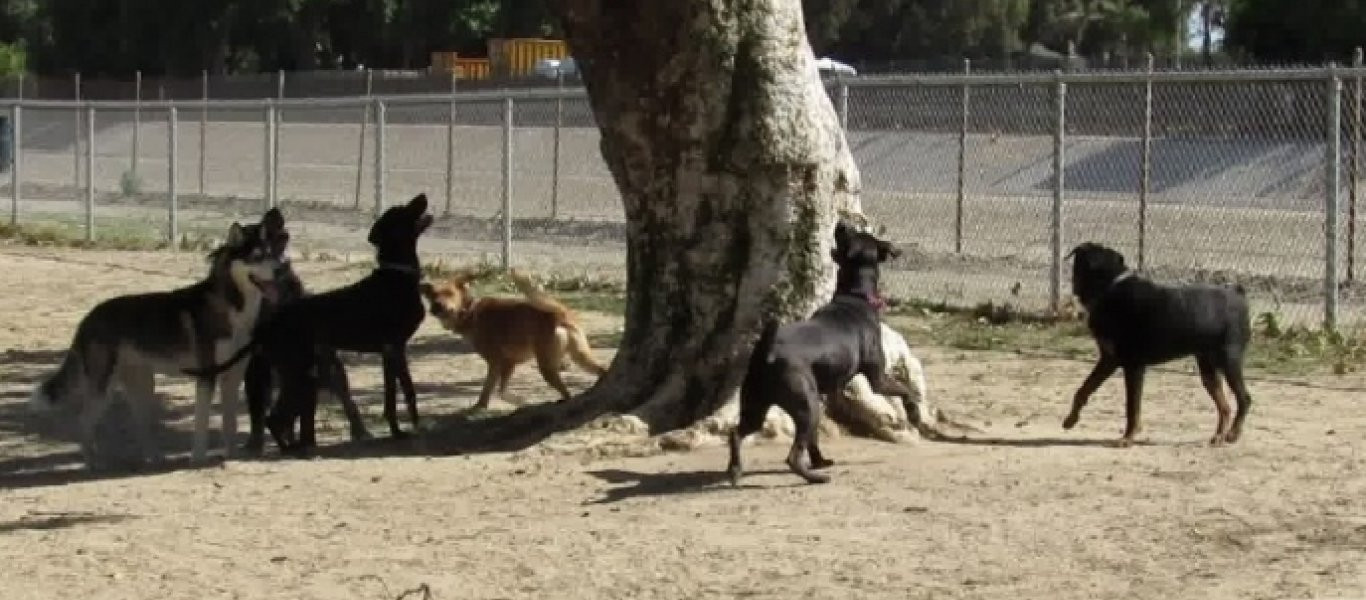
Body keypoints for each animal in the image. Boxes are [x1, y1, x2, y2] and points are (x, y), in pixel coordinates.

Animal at [31, 211, 285, 470]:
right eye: (256, 257)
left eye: (272, 254)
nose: (280, 270)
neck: (233, 306)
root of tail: (89, 317)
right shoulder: (207, 376)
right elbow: (201, 424)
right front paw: (198, 459)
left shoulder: (232, 377)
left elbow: (229, 424)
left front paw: (231, 456)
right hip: (104, 387)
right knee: (84, 421)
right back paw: (94, 463)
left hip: (141, 385)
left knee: (139, 424)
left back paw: (154, 459)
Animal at [237, 209, 371, 453]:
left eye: (275, 235)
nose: (274, 212)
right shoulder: (256, 367)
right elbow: (257, 410)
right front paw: (255, 443)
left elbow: (306, 413)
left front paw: (304, 441)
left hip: (330, 370)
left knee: (347, 400)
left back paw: (359, 432)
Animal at [417, 271, 606, 410]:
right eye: (432, 295)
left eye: (449, 293)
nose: (436, 307)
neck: (470, 311)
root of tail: (560, 312)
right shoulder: (509, 363)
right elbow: (502, 392)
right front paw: (520, 401)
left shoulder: (495, 362)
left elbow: (487, 389)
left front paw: (479, 407)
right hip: (580, 356)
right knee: (600, 370)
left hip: (546, 366)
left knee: (567, 392)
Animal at [726, 222, 907, 486]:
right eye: (857, 233)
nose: (841, 223)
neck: (855, 295)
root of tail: (767, 354)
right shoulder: (879, 380)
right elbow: (906, 391)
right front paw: (910, 411)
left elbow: (813, 439)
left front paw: (820, 459)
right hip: (806, 406)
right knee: (792, 456)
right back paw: (815, 477)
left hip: (757, 406)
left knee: (736, 434)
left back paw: (735, 470)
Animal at [1060, 243, 1251, 445]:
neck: (1109, 289)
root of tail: (1238, 294)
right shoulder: (1108, 360)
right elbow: (1084, 389)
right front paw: (1071, 419)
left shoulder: (1134, 366)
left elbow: (1132, 406)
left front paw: (1128, 437)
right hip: (1208, 367)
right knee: (1224, 406)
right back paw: (1219, 435)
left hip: (1229, 359)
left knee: (1244, 398)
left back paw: (1234, 433)